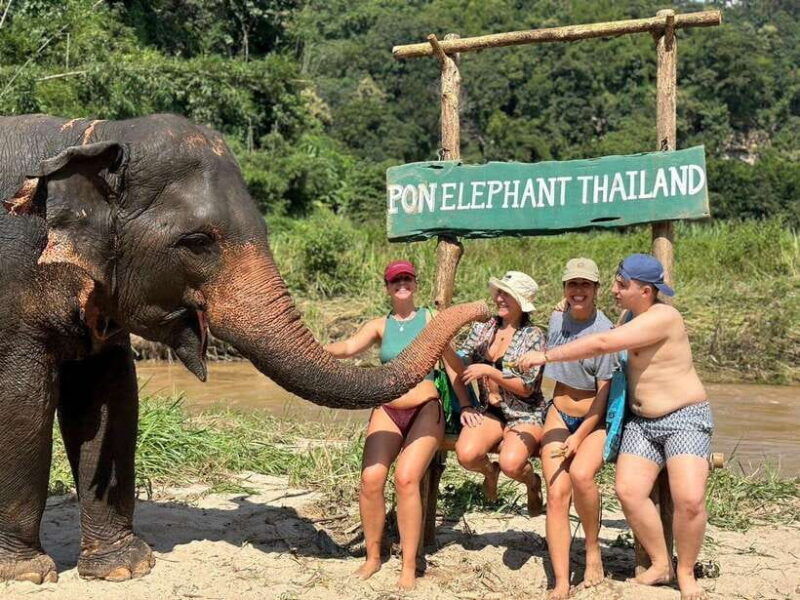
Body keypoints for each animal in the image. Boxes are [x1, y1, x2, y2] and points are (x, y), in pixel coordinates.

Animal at [0, 113, 490, 583]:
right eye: (198, 241)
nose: (484, 305)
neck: (91, 133)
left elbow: (109, 402)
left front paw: (125, 569)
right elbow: (22, 403)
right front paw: (26, 574)